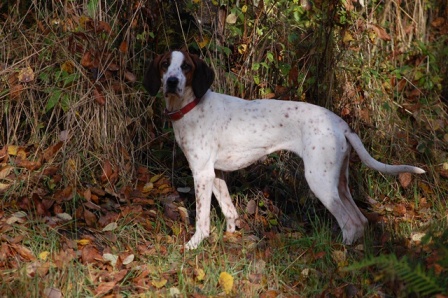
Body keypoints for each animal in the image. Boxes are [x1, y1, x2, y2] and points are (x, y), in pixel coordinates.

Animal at [144, 50, 428, 249]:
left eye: (186, 67)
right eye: (164, 65)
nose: (171, 81)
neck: (191, 106)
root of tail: (342, 124)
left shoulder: (202, 174)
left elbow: (202, 219)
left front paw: (194, 245)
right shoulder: (216, 174)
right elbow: (229, 210)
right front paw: (230, 237)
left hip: (319, 181)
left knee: (350, 222)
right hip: (339, 181)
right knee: (361, 220)